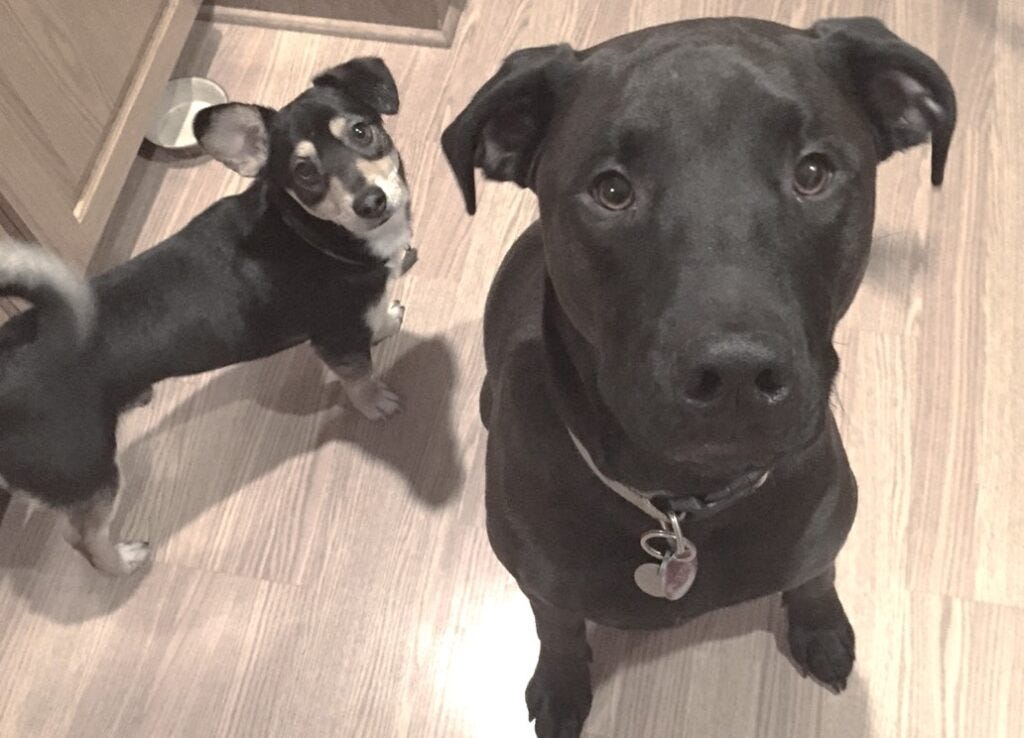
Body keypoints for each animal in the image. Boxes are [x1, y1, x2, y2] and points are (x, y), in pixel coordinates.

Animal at [2, 56, 415, 577]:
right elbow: (359, 376)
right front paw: (376, 403)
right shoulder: (335, 336)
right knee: (81, 537)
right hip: (85, 467)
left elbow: (376, 315)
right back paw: (125, 561)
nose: (371, 201)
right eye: (304, 173)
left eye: (362, 131)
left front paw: (386, 322)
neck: (311, 232)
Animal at [440, 17, 950, 736]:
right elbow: (558, 629)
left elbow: (816, 574)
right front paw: (561, 687)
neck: (684, 508)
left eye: (813, 171)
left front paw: (820, 629)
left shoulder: (821, 523)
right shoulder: (542, 579)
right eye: (613, 189)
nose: (734, 373)